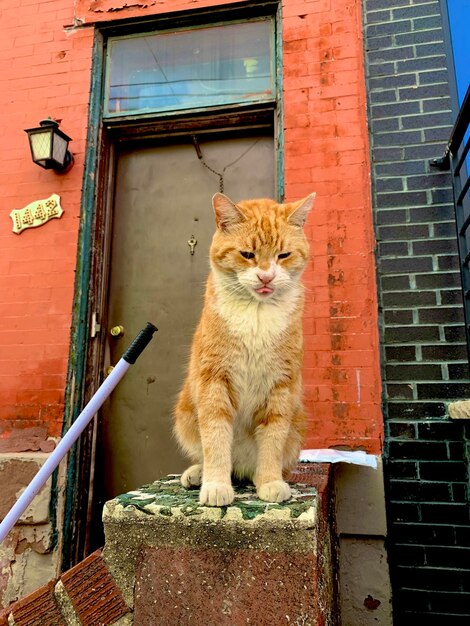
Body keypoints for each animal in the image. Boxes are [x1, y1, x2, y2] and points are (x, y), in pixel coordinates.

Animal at [173, 193, 316, 504]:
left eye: (283, 255)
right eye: (247, 254)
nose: (266, 277)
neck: (257, 314)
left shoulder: (281, 386)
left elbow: (273, 438)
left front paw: (270, 481)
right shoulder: (214, 380)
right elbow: (215, 437)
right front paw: (216, 485)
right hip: (185, 414)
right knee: (206, 453)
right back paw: (198, 473)